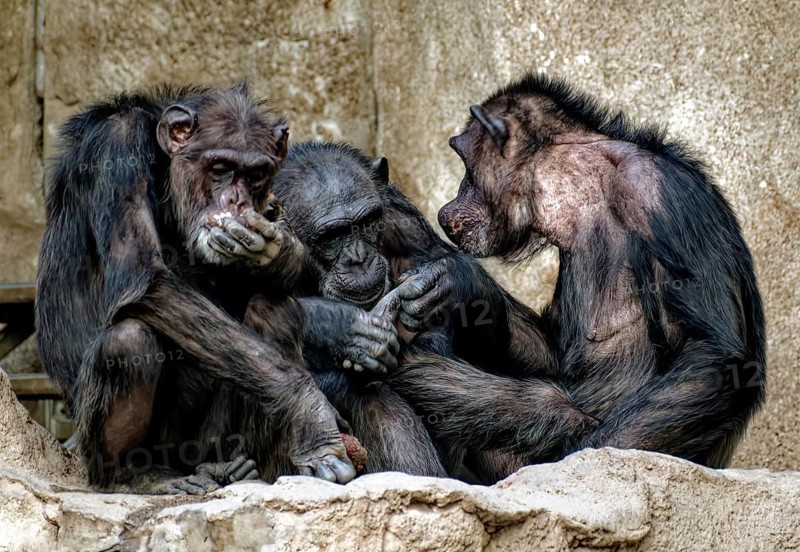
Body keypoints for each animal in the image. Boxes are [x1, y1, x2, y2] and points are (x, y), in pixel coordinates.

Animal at [36, 83, 356, 494]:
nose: (237, 199)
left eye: (255, 175)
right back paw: (137, 475)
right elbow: (147, 278)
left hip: (210, 443)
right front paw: (309, 410)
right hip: (103, 450)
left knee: (275, 309)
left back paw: (242, 468)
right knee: (129, 341)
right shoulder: (115, 148)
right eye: (220, 169)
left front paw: (275, 248)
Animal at [388, 72, 766, 482]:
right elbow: (555, 351)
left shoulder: (662, 196)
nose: (449, 205)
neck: (582, 183)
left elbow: (716, 354)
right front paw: (462, 286)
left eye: (465, 167)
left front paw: (579, 466)